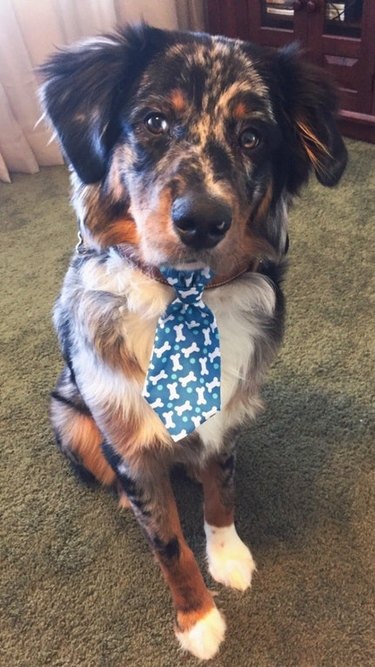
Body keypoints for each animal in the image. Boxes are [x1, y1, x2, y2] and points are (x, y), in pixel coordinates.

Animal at [39, 22, 348, 664]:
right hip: (71, 419)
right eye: (153, 122)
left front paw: (227, 555)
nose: (202, 220)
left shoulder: (229, 415)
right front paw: (198, 618)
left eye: (253, 137)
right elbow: (168, 543)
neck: (183, 293)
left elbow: (221, 494)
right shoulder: (126, 435)